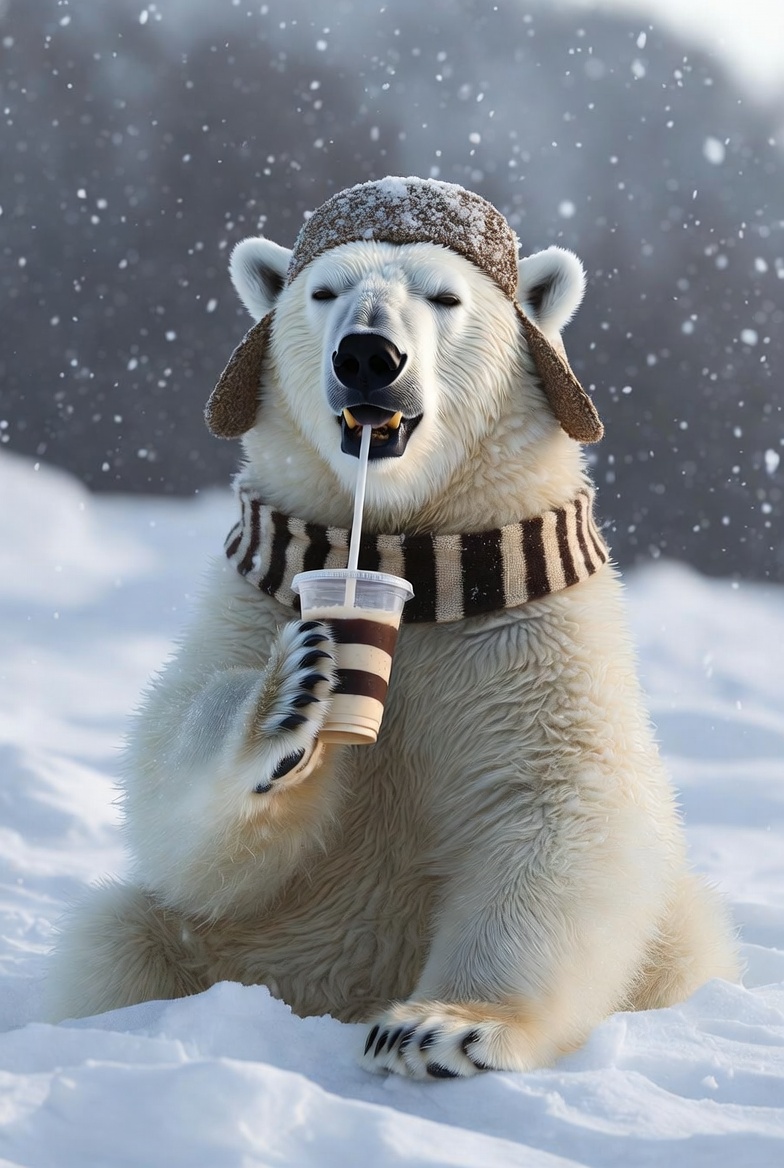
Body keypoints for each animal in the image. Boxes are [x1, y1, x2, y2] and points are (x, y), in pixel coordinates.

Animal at [46, 177, 739, 1079]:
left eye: (446, 297)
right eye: (324, 291)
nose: (368, 356)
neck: (417, 552)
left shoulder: (527, 642)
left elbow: (556, 808)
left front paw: (438, 1029)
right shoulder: (258, 597)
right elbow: (175, 795)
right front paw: (290, 697)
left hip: (678, 944)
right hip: (240, 947)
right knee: (114, 942)